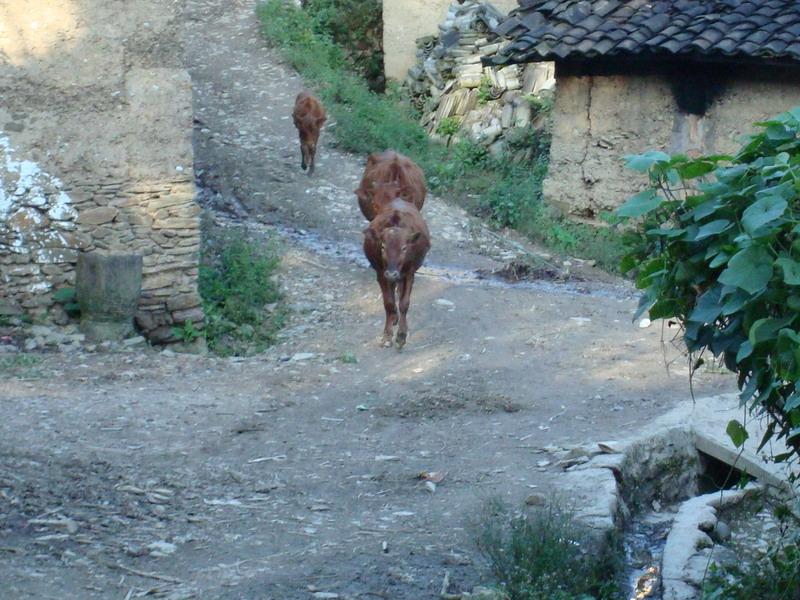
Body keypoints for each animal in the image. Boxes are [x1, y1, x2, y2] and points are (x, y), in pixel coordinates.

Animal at [366, 198, 432, 346]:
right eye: (383, 247)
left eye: (404, 248)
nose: (392, 273)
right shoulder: (381, 274)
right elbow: (389, 303)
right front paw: (387, 334)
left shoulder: (409, 274)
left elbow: (404, 303)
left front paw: (402, 335)